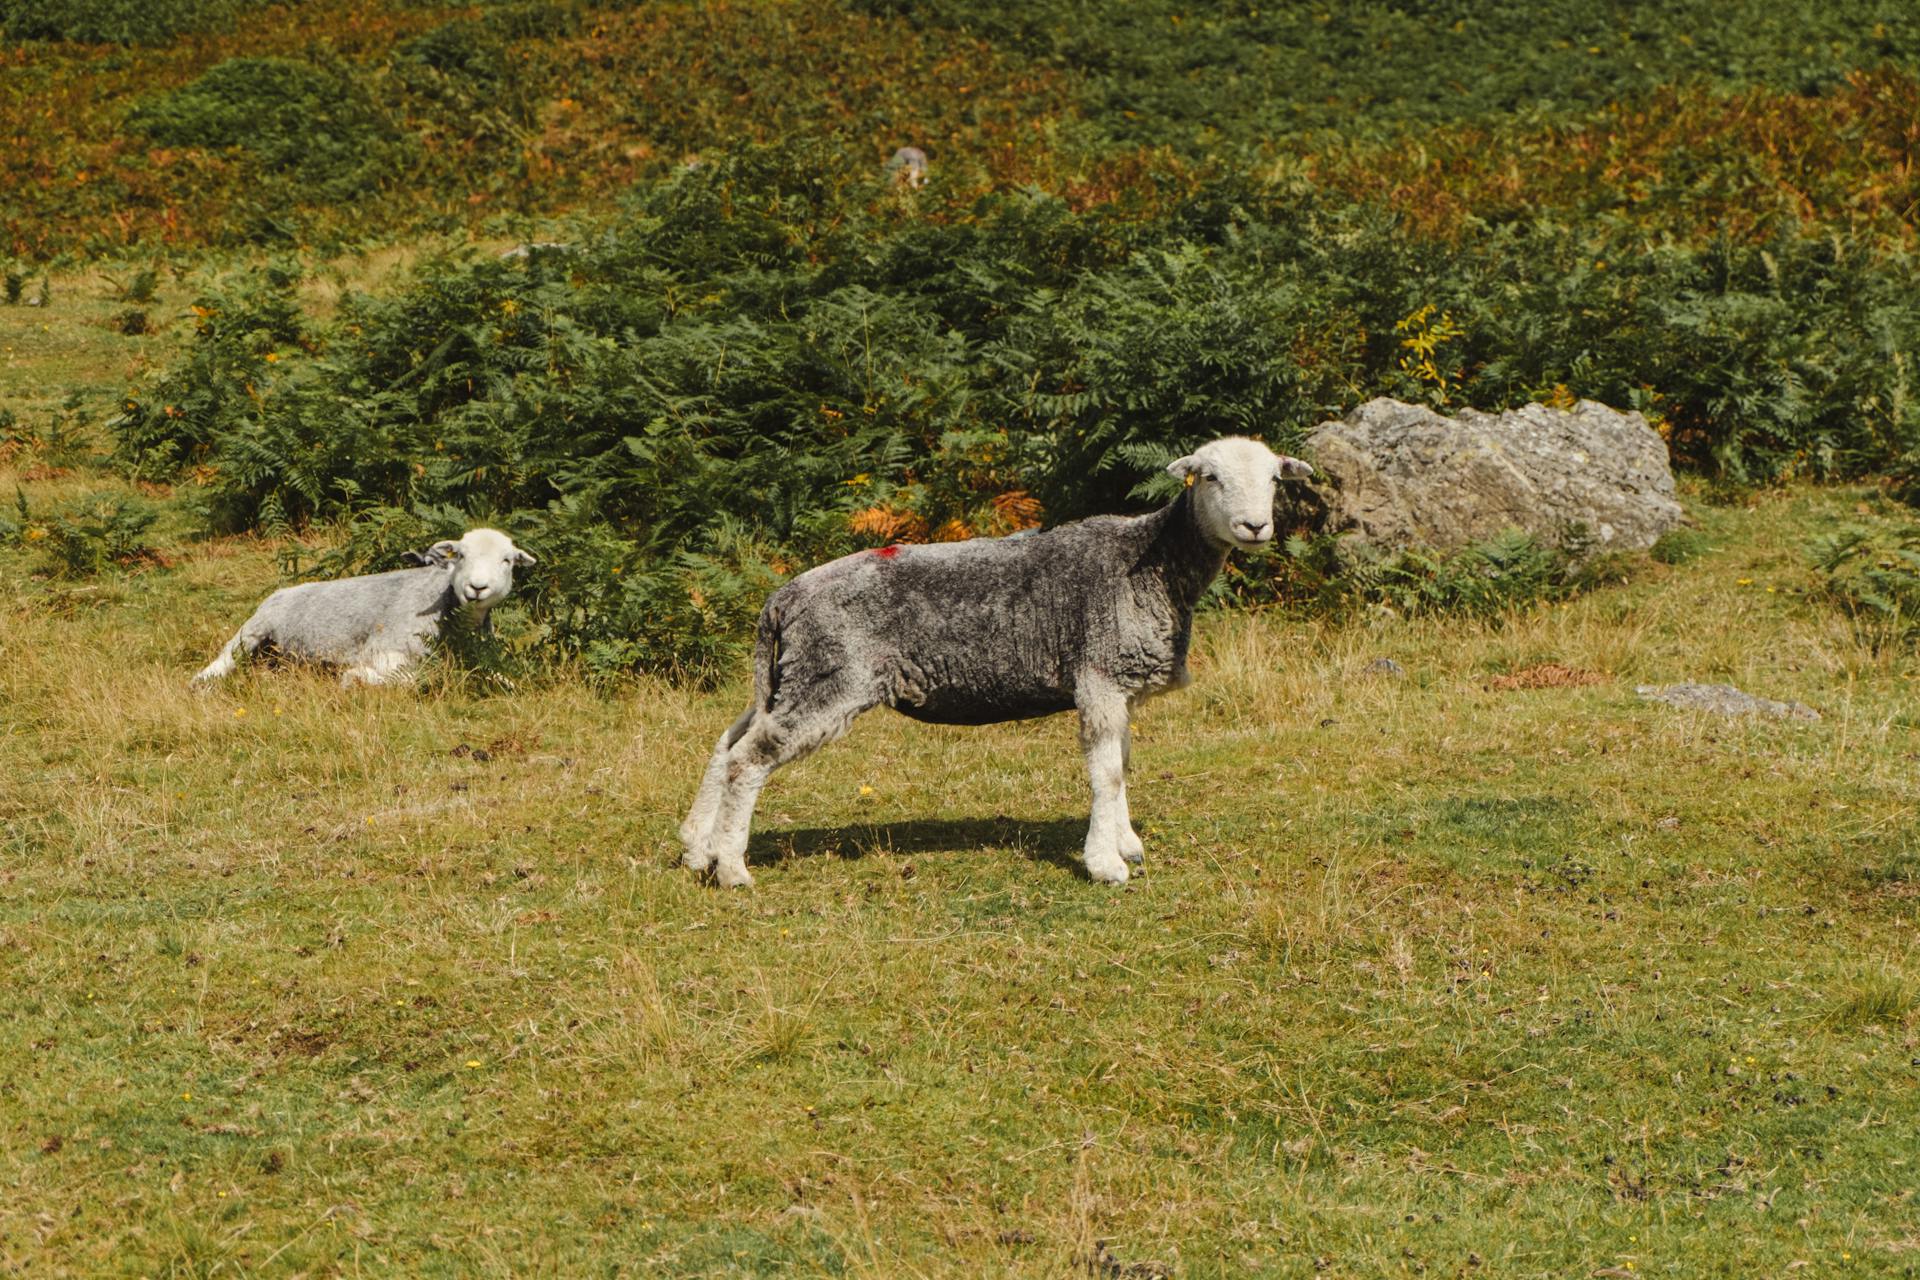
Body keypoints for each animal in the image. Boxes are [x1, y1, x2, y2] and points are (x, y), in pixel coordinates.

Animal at [192, 529, 537, 690]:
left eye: (507, 560)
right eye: (461, 555)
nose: (477, 588)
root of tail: (282, 591)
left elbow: (505, 680)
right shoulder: (386, 650)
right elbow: (409, 679)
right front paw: (355, 677)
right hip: (252, 630)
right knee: (220, 662)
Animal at [679, 435, 1320, 886]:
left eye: (1273, 478)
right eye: (1209, 476)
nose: (1255, 526)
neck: (1153, 561)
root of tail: (783, 598)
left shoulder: (1121, 684)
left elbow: (1122, 765)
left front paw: (1128, 844)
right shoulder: (1097, 677)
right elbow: (1106, 772)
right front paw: (1105, 864)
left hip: (788, 676)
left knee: (726, 744)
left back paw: (696, 849)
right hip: (827, 676)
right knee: (750, 759)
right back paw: (733, 869)